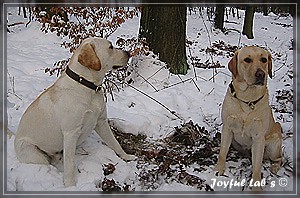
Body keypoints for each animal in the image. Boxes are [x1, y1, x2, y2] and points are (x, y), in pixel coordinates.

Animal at [14, 37, 135, 187]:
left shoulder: (101, 122)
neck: (86, 85)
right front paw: (70, 185)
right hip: (34, 153)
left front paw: (126, 156)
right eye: (110, 47)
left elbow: (115, 143)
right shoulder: (71, 133)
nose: (128, 53)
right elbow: (70, 164)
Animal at [216, 46, 282, 190]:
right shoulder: (227, 128)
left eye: (264, 59)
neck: (248, 99)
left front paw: (256, 188)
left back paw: (274, 167)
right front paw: (219, 168)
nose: (261, 74)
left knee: (279, 158)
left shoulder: (258, 138)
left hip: (274, 144)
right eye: (247, 60)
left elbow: (257, 167)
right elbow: (223, 151)